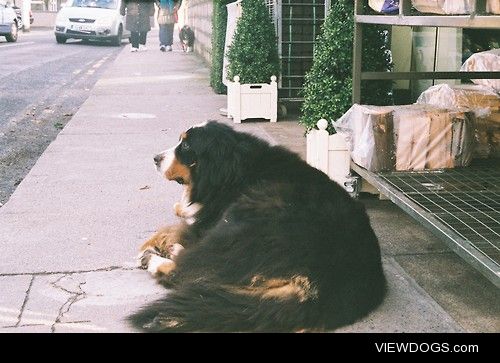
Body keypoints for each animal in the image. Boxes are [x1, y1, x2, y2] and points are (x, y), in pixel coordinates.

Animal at [129, 121, 386, 332]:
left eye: (186, 146)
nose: (155, 158)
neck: (230, 167)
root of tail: (324, 284)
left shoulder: (209, 222)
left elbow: (172, 228)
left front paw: (148, 245)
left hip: (249, 213)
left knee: (189, 271)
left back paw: (156, 259)